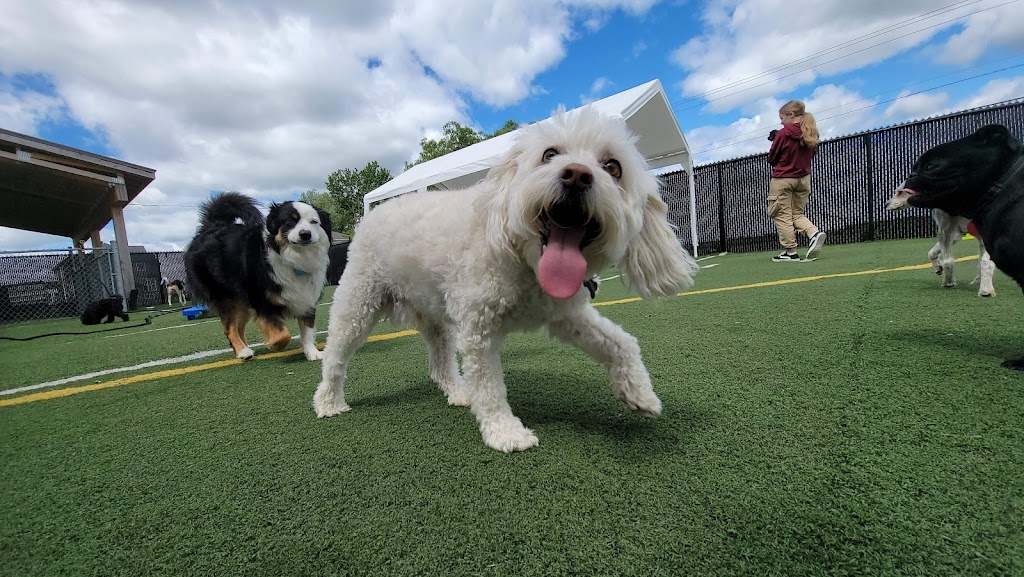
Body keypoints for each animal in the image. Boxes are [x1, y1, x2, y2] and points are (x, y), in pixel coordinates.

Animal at [180, 191, 331, 358]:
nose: (305, 234)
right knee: (230, 328)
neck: (293, 259)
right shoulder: (261, 300)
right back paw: (243, 351)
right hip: (225, 296)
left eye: (314, 222)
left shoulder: (306, 298)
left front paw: (312, 353)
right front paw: (273, 344)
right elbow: (283, 334)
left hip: (242, 299)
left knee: (239, 327)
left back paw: (246, 349)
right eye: (290, 221)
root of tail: (212, 225)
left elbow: (307, 331)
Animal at [311, 107, 696, 450]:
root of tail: (372, 215)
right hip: (357, 303)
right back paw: (329, 403)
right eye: (549, 154)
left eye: (613, 167)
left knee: (440, 364)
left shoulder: (566, 314)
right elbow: (490, 387)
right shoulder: (479, 329)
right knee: (335, 356)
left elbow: (622, 343)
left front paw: (641, 394)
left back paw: (459, 393)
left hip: (436, 318)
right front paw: (505, 433)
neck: (526, 262)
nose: (577, 175)